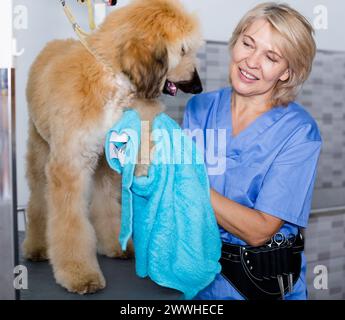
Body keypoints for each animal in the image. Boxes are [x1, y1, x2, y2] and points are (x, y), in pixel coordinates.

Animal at [23, 0, 202, 296]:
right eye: (183, 50)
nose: (198, 86)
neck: (111, 79)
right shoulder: (69, 166)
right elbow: (70, 224)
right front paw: (79, 273)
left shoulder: (112, 156)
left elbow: (108, 203)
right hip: (40, 150)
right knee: (38, 201)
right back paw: (36, 246)